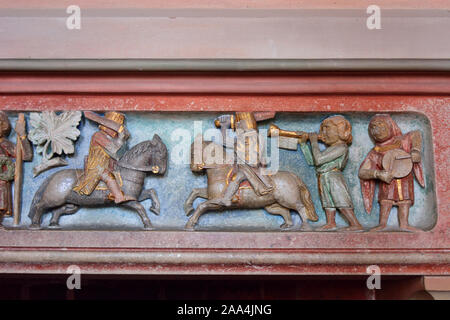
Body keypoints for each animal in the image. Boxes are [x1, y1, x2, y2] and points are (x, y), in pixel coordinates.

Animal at [29, 134, 168, 229]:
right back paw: (35, 224)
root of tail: (53, 176)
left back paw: (54, 224)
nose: (162, 170)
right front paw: (148, 224)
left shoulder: (136, 196)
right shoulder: (126, 201)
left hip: (71, 204)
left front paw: (155, 208)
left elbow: (151, 192)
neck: (127, 172)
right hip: (54, 198)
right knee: (40, 206)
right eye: (160, 153)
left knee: (57, 210)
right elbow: (140, 207)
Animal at [183, 139, 316, 230]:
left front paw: (190, 223)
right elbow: (195, 191)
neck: (220, 170)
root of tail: (292, 175)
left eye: (193, 154)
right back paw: (286, 225)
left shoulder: (219, 202)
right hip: (272, 206)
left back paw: (305, 227)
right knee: (285, 211)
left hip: (289, 200)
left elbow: (202, 205)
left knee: (300, 207)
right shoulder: (211, 195)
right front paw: (188, 208)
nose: (193, 168)